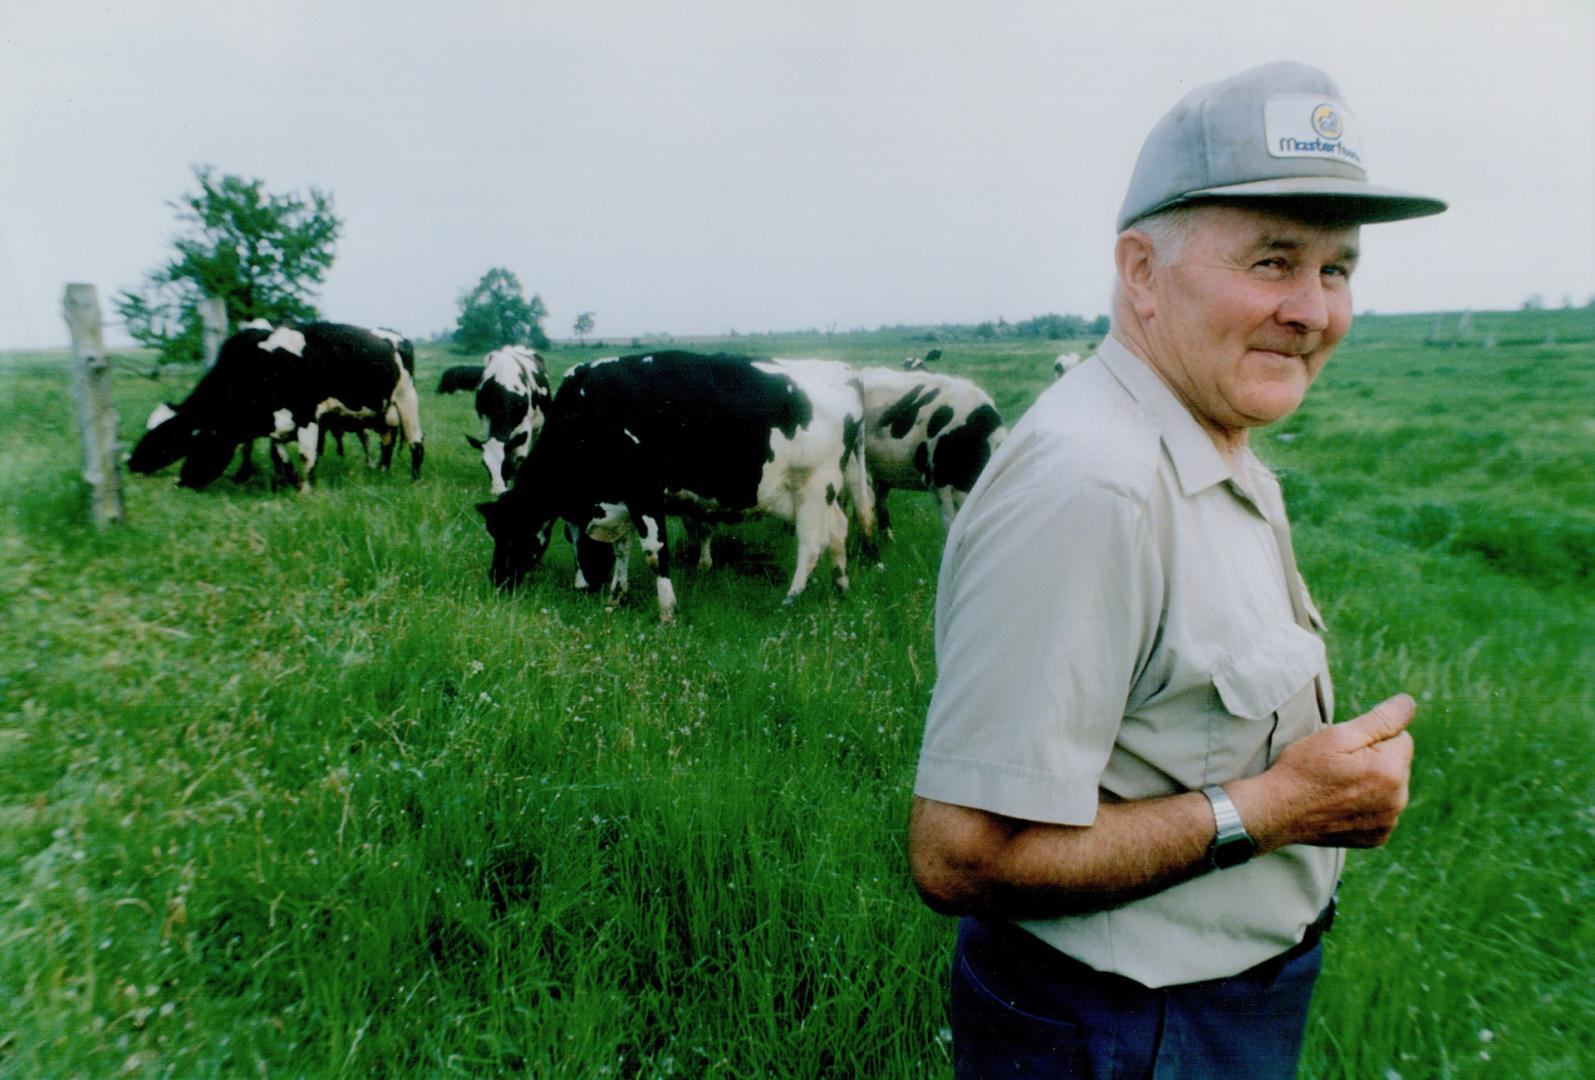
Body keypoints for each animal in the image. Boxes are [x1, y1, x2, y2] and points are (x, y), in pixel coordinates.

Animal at [128, 317, 424, 491]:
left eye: (161, 439)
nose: (131, 463)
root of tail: (395, 336)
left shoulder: (307, 415)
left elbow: (306, 456)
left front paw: (307, 491)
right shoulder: (278, 424)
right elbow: (281, 457)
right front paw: (288, 483)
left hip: (406, 399)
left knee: (416, 442)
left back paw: (414, 480)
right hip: (382, 412)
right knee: (386, 443)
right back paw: (382, 472)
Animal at [465, 347, 551, 494]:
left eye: (505, 462)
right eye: (485, 464)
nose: (497, 491)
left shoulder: (525, 425)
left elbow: (520, 457)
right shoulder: (486, 421)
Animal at [475, 350, 874, 622]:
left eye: (513, 531)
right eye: (493, 532)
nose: (496, 579)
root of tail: (845, 376)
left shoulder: (645, 493)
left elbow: (655, 553)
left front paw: (667, 611)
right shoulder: (618, 500)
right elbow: (622, 548)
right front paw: (616, 596)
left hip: (815, 486)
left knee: (812, 544)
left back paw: (790, 600)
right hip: (820, 492)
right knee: (839, 529)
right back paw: (841, 587)